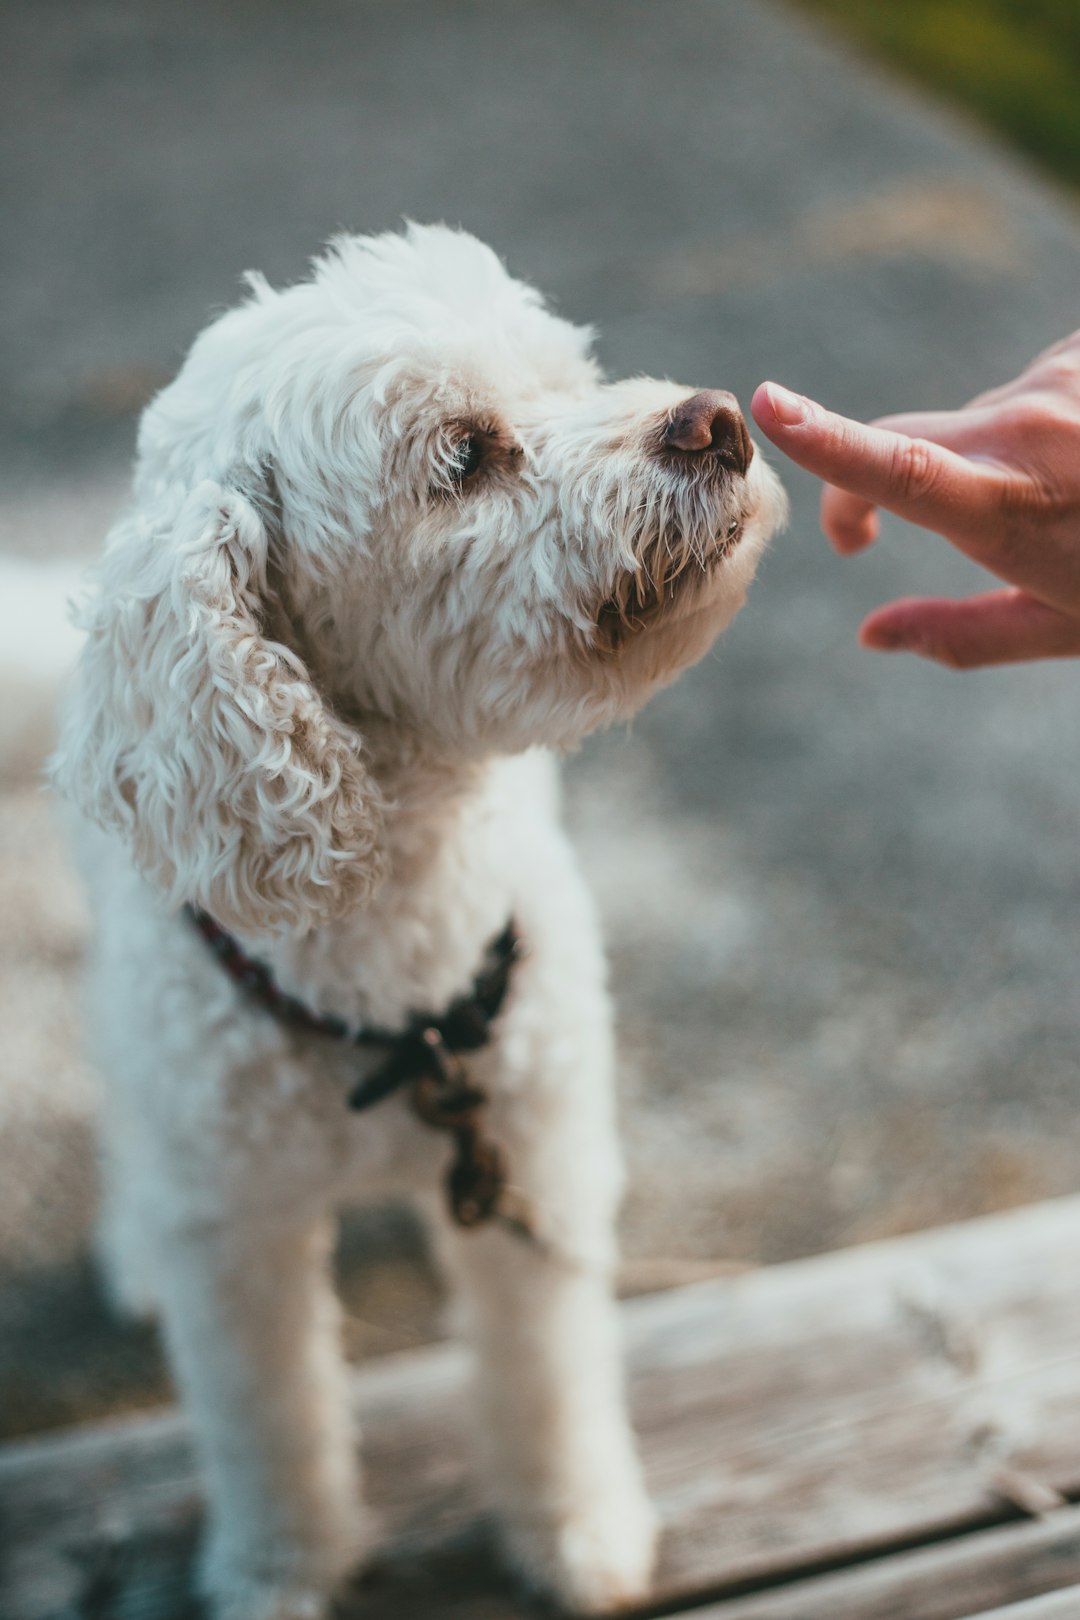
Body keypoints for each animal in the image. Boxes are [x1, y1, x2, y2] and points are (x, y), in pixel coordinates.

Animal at [50, 228, 786, 1620]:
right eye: (463, 457)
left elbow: (548, 1374)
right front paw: (276, 1570)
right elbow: (271, 1428)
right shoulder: (242, 1241)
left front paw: (575, 1528)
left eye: (573, 375)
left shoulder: (536, 1153)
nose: (716, 419)